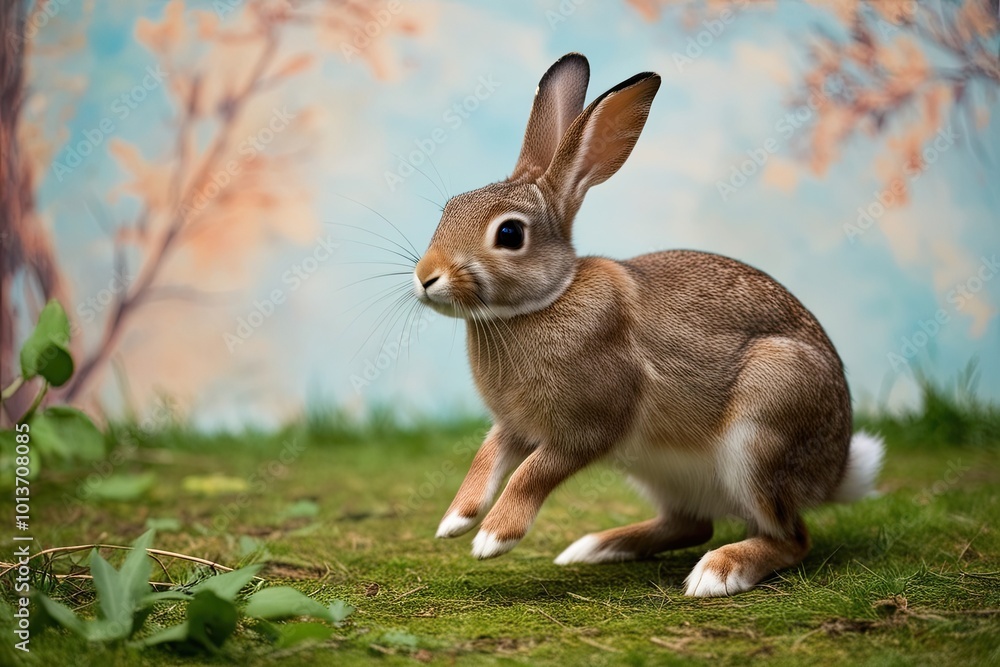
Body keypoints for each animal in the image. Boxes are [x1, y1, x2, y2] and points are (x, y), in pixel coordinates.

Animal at [412, 53, 884, 597]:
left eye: (509, 234)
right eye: (449, 208)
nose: (425, 277)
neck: (544, 300)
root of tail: (835, 471)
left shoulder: (588, 425)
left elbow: (534, 471)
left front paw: (492, 538)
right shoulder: (515, 426)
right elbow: (487, 458)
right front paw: (455, 520)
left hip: (764, 431)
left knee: (789, 536)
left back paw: (717, 573)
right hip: (660, 471)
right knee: (691, 524)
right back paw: (595, 547)